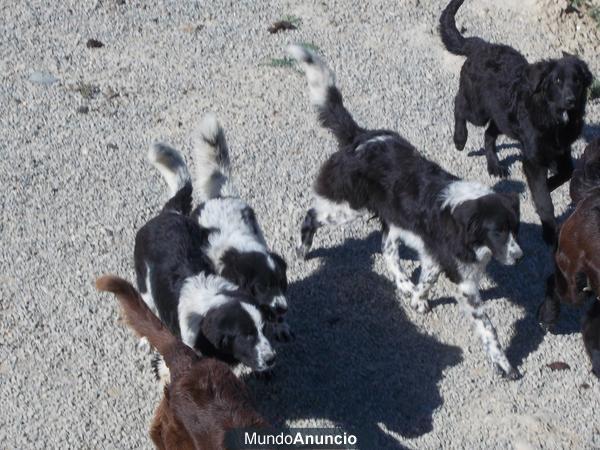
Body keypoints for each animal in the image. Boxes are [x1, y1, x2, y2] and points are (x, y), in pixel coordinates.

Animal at [288, 44, 524, 380]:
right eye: (498, 232)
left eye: (515, 229)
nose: (520, 257)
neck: (465, 224)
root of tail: (361, 136)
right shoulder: (465, 283)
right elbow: (488, 328)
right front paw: (503, 364)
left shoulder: (434, 255)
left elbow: (427, 281)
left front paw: (415, 298)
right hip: (349, 206)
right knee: (311, 215)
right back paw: (302, 248)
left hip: (391, 219)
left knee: (387, 251)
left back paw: (403, 284)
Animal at [438, 0, 592, 244]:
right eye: (558, 81)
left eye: (577, 81)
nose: (570, 100)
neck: (555, 118)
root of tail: (481, 46)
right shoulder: (533, 161)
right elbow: (544, 199)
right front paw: (550, 230)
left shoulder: (562, 150)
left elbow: (566, 173)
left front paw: (550, 183)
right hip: (478, 109)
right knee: (459, 105)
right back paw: (460, 139)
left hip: (502, 118)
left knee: (489, 134)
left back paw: (495, 165)